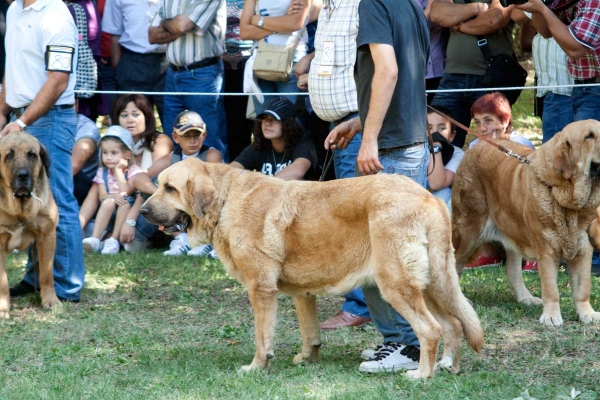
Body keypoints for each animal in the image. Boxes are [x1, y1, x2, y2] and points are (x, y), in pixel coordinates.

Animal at [0, 132, 60, 318]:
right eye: (9, 155)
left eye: (32, 154)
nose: (23, 175)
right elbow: (2, 282)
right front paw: (3, 309)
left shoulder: (47, 236)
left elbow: (46, 275)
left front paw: (51, 301)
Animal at [139, 157, 482, 378]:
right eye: (159, 185)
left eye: (170, 188)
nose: (142, 211)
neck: (224, 201)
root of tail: (428, 198)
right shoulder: (302, 294)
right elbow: (309, 332)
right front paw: (307, 358)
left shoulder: (260, 289)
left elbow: (262, 337)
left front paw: (256, 367)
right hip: (432, 284)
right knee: (453, 324)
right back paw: (449, 366)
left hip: (397, 284)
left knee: (431, 329)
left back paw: (421, 375)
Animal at [450, 120, 600, 326]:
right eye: (589, 136)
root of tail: (474, 147)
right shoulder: (547, 251)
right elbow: (551, 289)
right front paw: (551, 316)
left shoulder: (583, 248)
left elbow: (583, 287)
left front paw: (587, 313)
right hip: (469, 232)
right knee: (455, 265)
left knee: (512, 270)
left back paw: (526, 298)